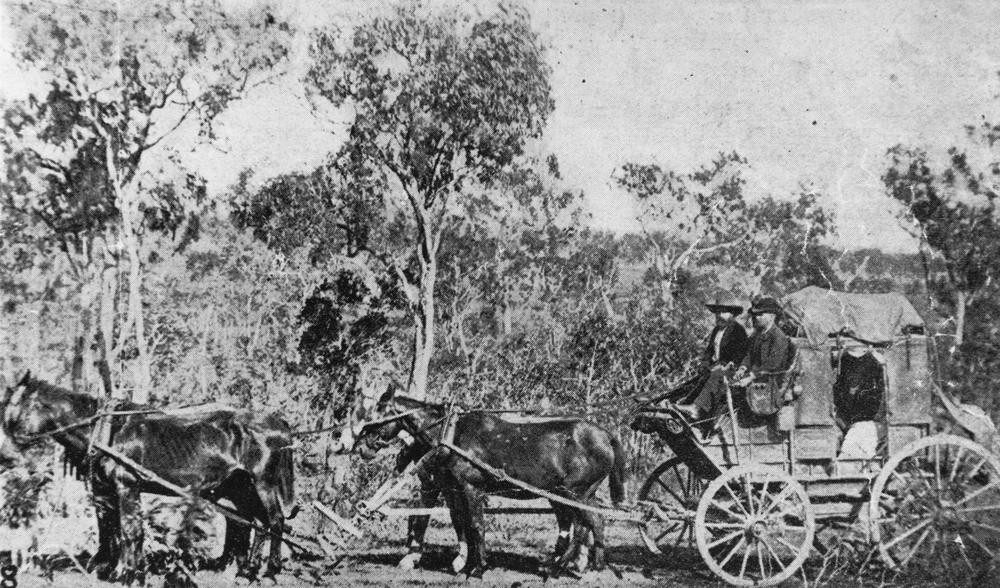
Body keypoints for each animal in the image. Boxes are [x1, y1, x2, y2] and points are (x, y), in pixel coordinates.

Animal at [0, 372, 296, 584]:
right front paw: (105, 568)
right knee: (252, 522)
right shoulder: (104, 489)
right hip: (239, 487)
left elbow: (130, 530)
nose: (5, 457)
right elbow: (109, 527)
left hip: (262, 483)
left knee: (274, 521)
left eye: (14, 408)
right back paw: (243, 570)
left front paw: (131, 574)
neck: (104, 431)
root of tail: (280, 424)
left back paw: (268, 571)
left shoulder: (127, 486)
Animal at [344, 388, 624, 576]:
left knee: (583, 526)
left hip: (575, 493)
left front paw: (478, 568)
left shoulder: (471, 488)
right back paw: (592, 565)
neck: (451, 433)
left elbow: (476, 525)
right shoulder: (456, 489)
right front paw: (466, 564)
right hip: (578, 493)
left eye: (379, 412)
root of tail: (606, 435)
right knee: (594, 522)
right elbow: (465, 525)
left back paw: (560, 567)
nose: (359, 447)